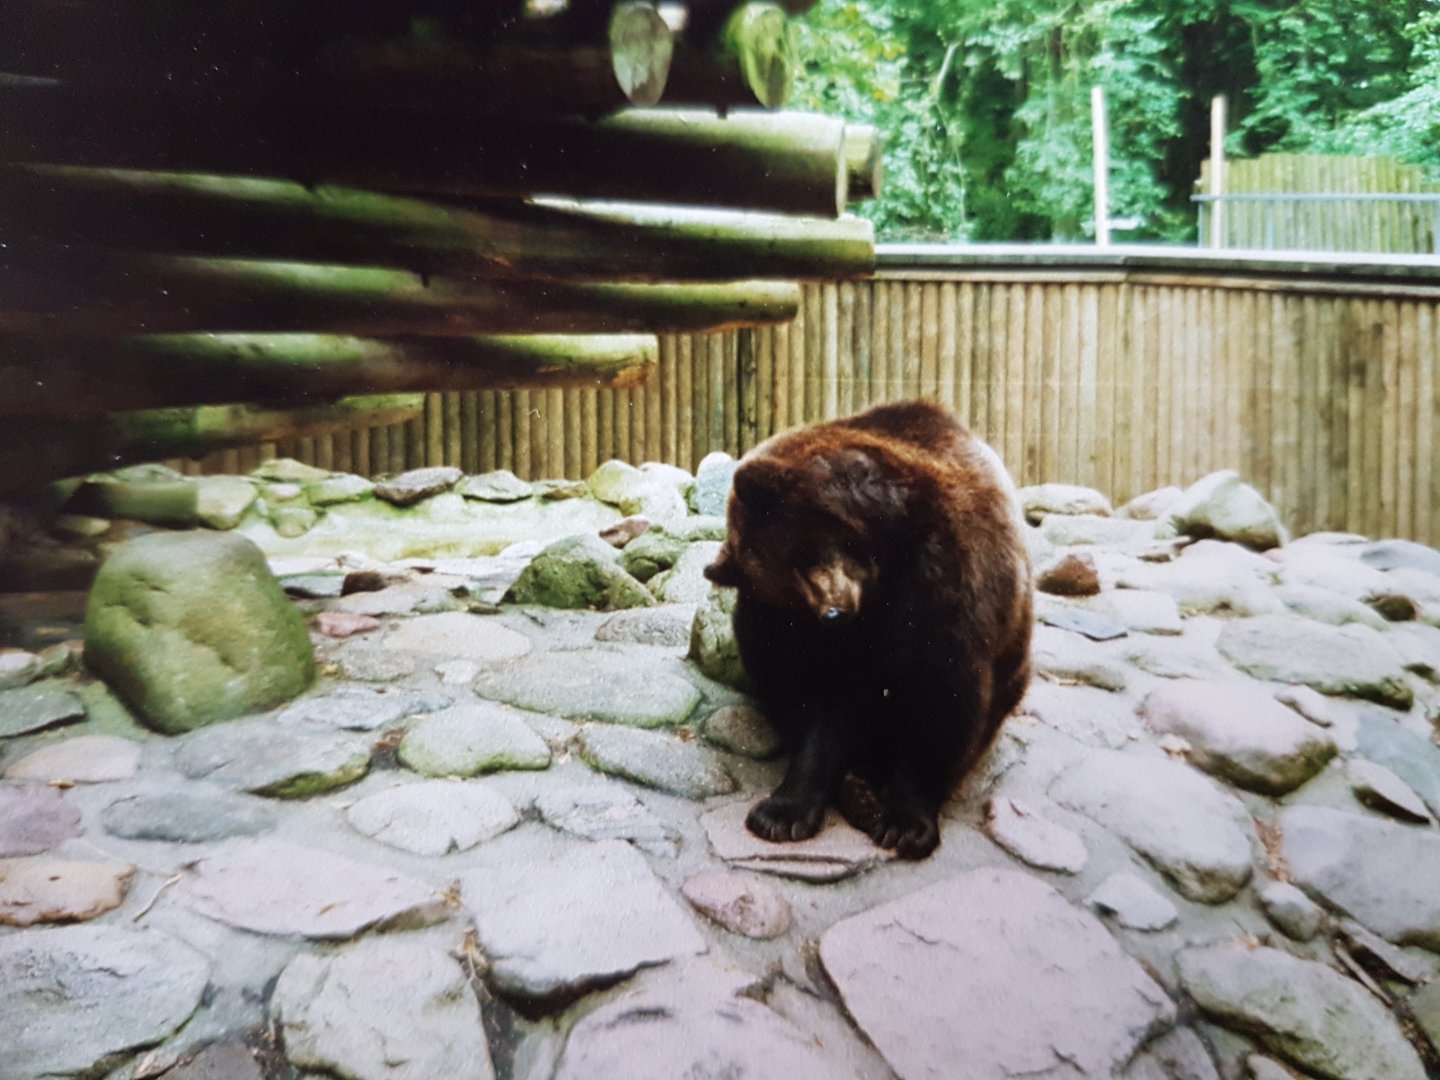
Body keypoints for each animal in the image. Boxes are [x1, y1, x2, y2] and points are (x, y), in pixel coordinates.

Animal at [703, 400, 1033, 860]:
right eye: (789, 586)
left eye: (804, 553)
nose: (834, 612)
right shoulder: (807, 636)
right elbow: (816, 703)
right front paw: (781, 814)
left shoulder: (950, 586)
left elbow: (944, 697)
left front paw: (905, 823)